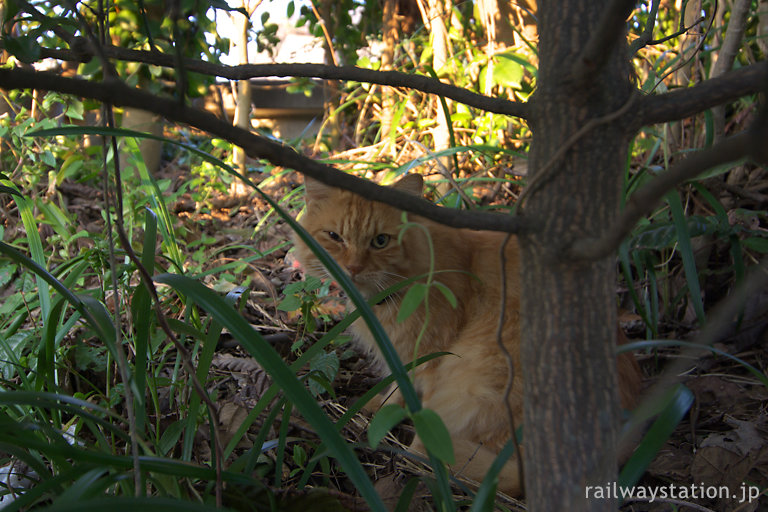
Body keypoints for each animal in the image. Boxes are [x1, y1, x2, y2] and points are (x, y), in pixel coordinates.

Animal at [294, 174, 640, 498]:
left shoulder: (430, 355)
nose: (352, 268)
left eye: (380, 241)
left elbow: (415, 404)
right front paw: (378, 405)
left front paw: (401, 429)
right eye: (334, 237)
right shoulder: (402, 355)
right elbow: (396, 388)